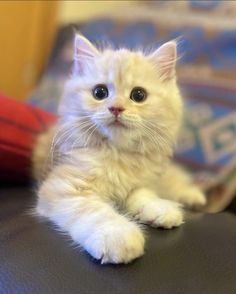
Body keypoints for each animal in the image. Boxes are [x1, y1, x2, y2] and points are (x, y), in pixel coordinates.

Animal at [33, 34, 206, 264]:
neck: (118, 154)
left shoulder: (141, 182)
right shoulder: (64, 187)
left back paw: (192, 196)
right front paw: (118, 235)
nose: (116, 108)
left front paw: (159, 209)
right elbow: (95, 211)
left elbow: (144, 195)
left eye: (138, 95)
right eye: (99, 92)